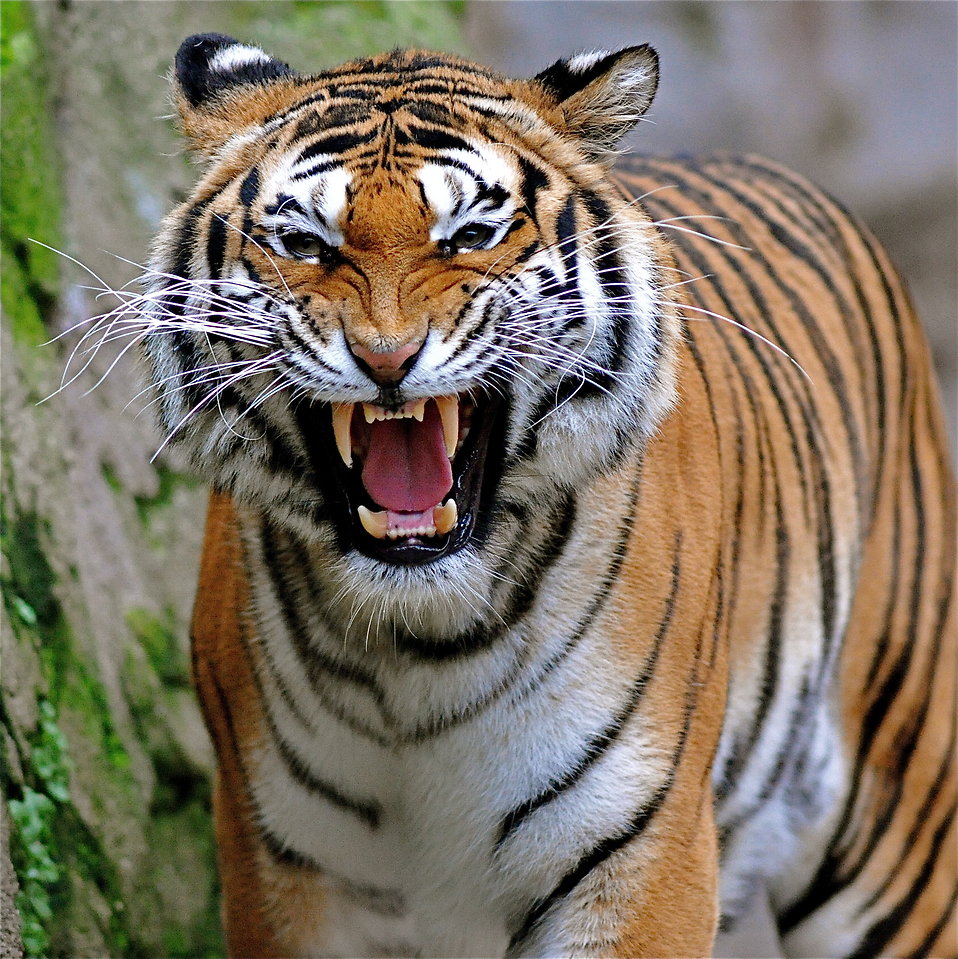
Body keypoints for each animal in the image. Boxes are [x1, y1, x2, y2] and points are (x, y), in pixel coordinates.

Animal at [134, 32, 957, 958]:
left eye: (470, 235)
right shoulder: (283, 864)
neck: (416, 646)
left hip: (898, 819)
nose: (386, 358)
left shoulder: (638, 850)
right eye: (306, 243)